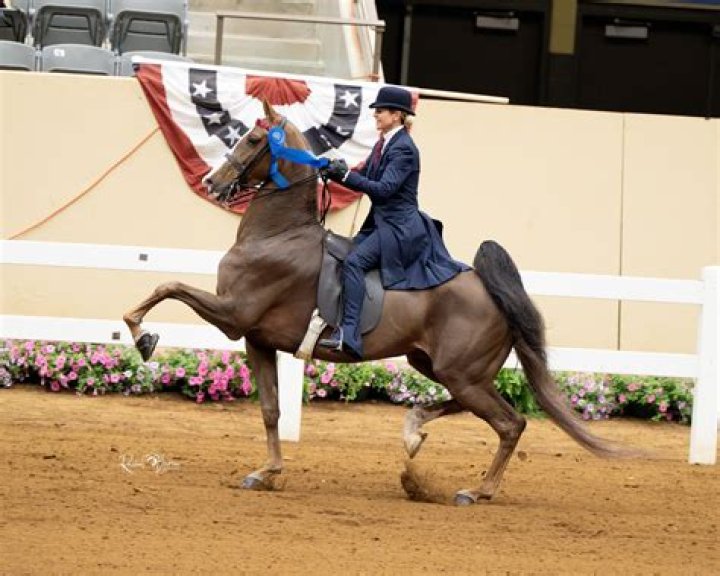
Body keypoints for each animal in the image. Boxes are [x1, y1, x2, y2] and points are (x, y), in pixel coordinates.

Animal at [123, 100, 626, 505]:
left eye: (252, 139)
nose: (211, 182)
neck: (278, 236)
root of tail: (490, 290)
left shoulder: (232, 314)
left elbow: (168, 287)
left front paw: (142, 334)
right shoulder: (257, 339)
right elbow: (270, 411)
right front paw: (266, 472)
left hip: (461, 373)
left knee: (509, 424)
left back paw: (475, 490)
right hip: (442, 366)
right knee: (480, 410)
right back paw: (415, 431)